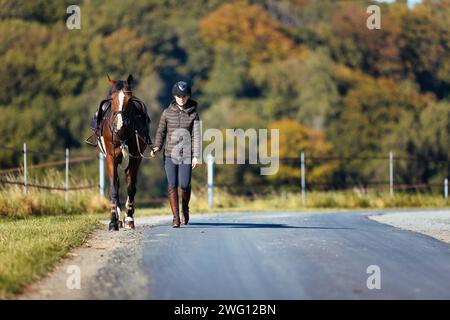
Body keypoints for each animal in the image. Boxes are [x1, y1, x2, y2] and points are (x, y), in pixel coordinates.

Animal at [98, 74, 151, 230]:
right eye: (113, 98)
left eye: (129, 97)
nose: (120, 124)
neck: (122, 133)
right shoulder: (111, 158)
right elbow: (113, 188)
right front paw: (113, 221)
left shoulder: (135, 158)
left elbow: (131, 188)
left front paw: (129, 218)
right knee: (116, 183)